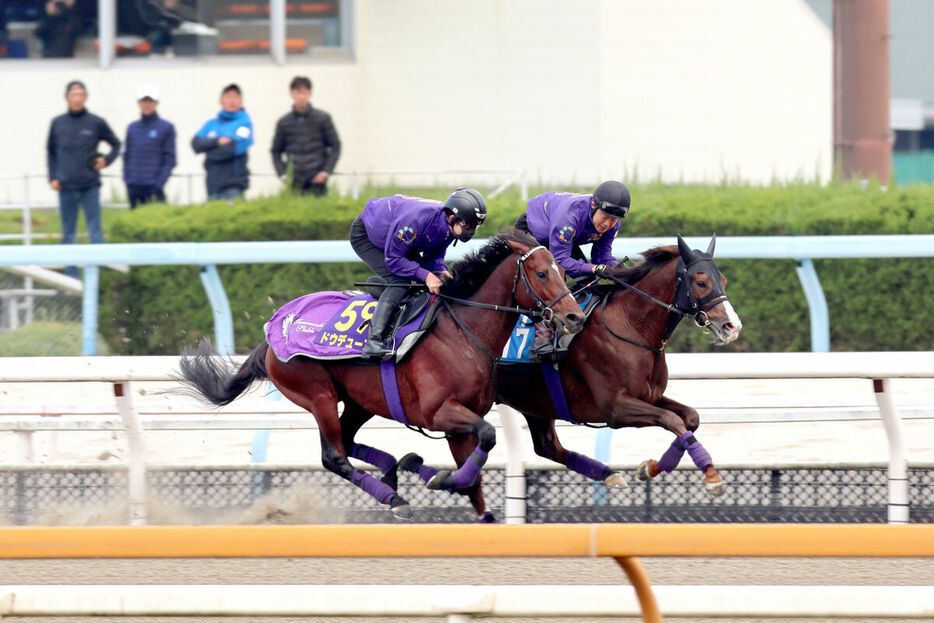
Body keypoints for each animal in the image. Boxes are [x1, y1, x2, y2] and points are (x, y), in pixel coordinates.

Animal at [178, 229, 580, 520]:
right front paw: (442, 479)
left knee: (346, 439)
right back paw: (393, 496)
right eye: (541, 273)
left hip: (360, 401)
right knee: (334, 456)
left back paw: (396, 468)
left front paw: (456, 490)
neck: (460, 332)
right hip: (317, 394)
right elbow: (487, 438)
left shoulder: (459, 423)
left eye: (563, 271)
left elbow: (477, 475)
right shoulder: (439, 413)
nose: (573, 316)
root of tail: (274, 330)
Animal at [494, 234, 744, 498]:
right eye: (701, 282)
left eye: (723, 280)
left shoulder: (650, 396)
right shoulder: (614, 407)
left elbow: (691, 418)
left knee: (547, 446)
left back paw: (609, 474)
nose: (732, 326)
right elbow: (672, 420)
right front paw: (711, 475)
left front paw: (650, 469)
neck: (632, 326)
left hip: (533, 402)